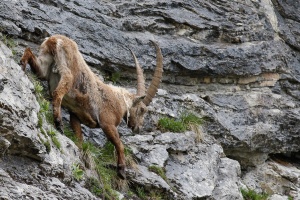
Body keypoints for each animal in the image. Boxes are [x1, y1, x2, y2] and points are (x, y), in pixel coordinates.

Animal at [20, 34, 163, 178]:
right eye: (142, 110)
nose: (138, 128)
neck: (119, 101)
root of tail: (54, 39)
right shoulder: (107, 123)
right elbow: (119, 144)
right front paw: (122, 170)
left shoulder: (75, 115)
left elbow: (79, 137)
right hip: (67, 72)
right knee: (57, 93)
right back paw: (58, 122)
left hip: (44, 64)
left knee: (30, 53)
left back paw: (22, 66)